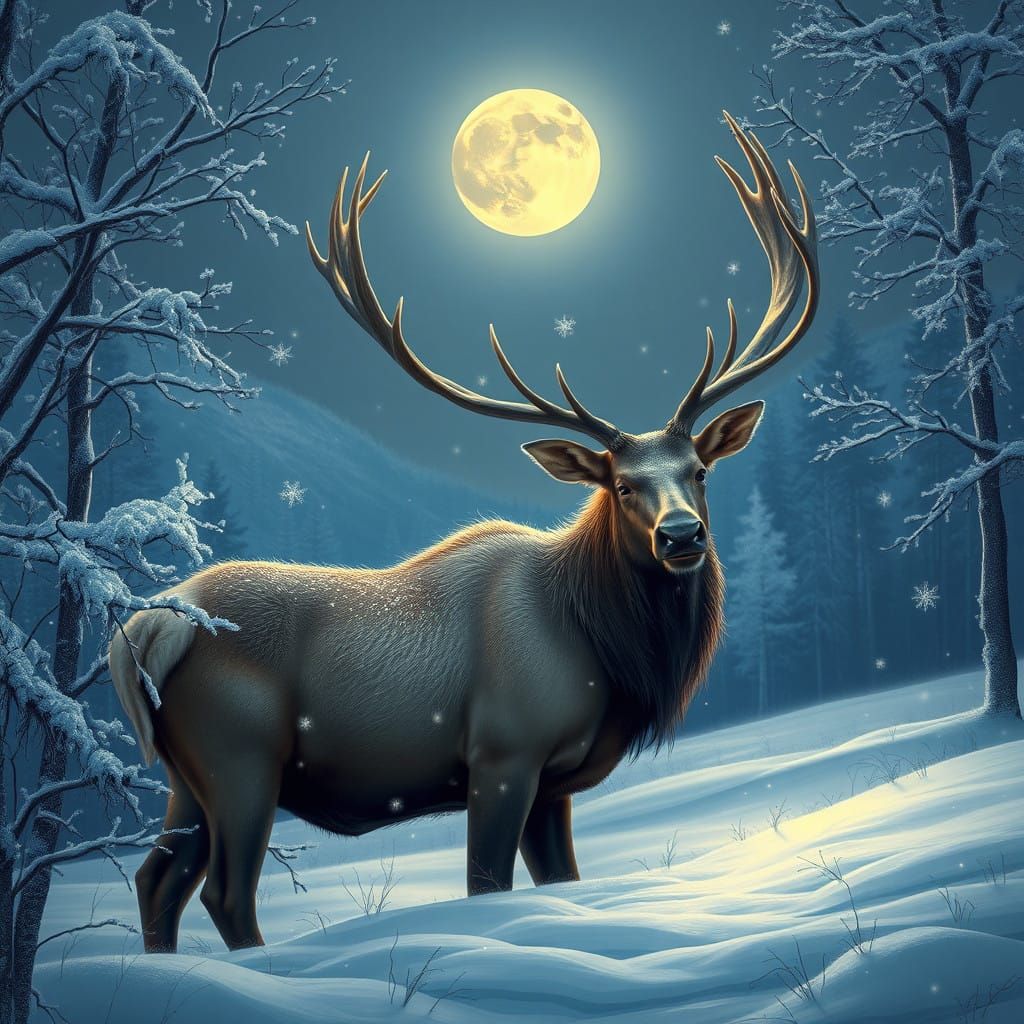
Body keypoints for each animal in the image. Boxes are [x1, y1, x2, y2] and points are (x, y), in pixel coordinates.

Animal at [110, 112, 818, 953]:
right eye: (621, 485)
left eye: (700, 471)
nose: (682, 536)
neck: (604, 650)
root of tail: (151, 627)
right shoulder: (503, 754)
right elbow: (488, 885)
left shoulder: (554, 782)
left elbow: (563, 882)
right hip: (241, 759)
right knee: (223, 892)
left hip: (184, 777)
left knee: (156, 882)